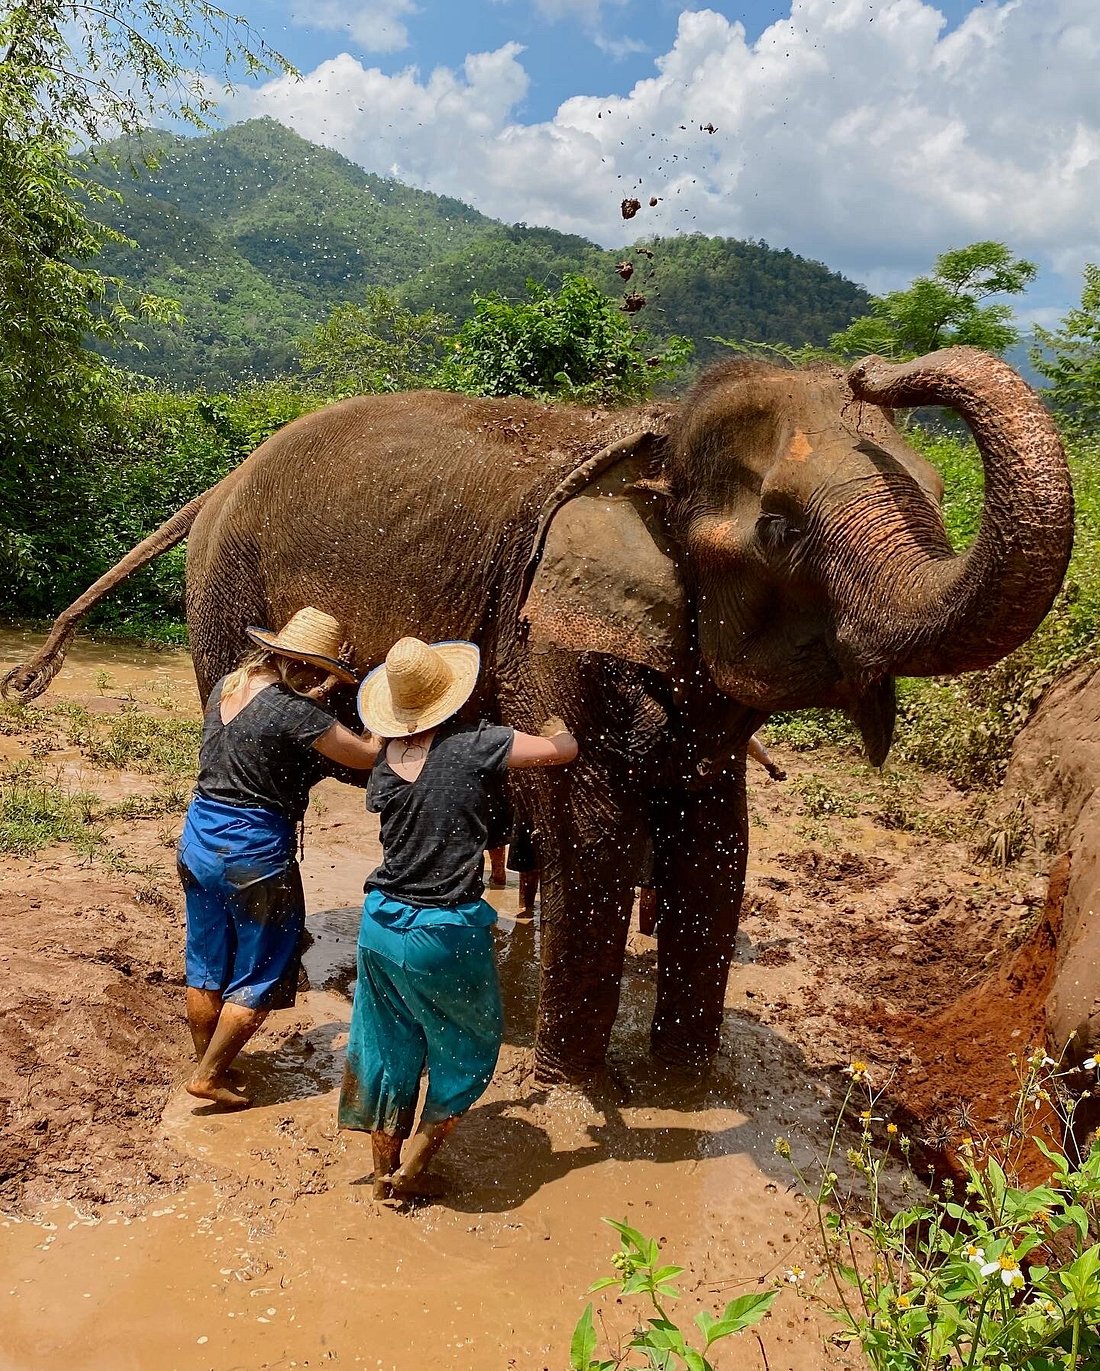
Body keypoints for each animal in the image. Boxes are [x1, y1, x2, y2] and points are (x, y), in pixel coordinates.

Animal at [6, 350, 1069, 1080]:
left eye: (940, 492)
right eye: (779, 527)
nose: (871, 365)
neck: (656, 433)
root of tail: (215, 485)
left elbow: (717, 844)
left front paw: (686, 1085)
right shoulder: (543, 621)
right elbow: (592, 828)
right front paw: (572, 1081)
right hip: (223, 600)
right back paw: (295, 976)